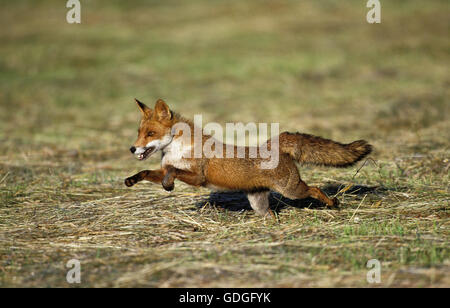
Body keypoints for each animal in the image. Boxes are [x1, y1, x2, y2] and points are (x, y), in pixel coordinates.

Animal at [124, 98, 372, 217]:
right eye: (139, 132)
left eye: (150, 134)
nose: (132, 149)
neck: (177, 150)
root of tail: (273, 143)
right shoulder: (164, 168)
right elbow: (148, 172)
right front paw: (132, 180)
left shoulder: (198, 177)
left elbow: (173, 172)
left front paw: (168, 185)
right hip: (258, 203)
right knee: (271, 214)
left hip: (292, 190)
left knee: (315, 189)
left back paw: (332, 202)